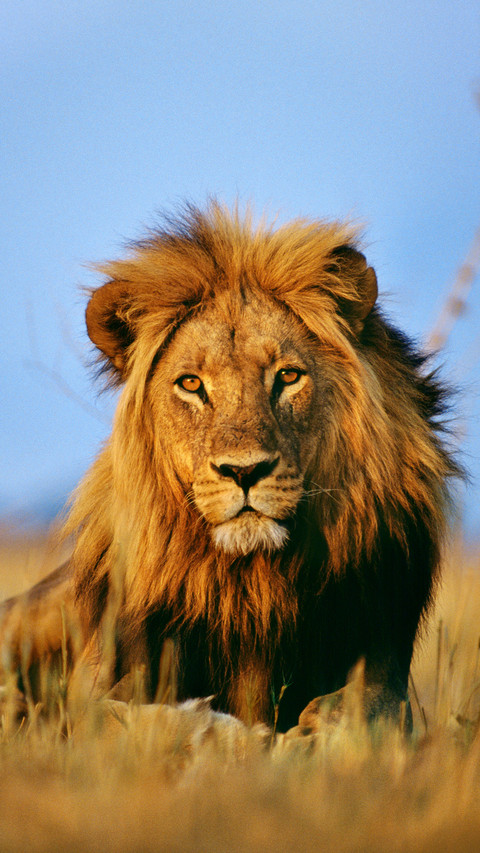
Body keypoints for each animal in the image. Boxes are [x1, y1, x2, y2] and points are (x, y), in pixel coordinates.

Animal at [0, 202, 458, 732]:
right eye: (192, 384)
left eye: (288, 376)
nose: (244, 472)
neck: (251, 583)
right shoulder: (99, 679)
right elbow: (114, 714)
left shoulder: (385, 664)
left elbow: (362, 710)